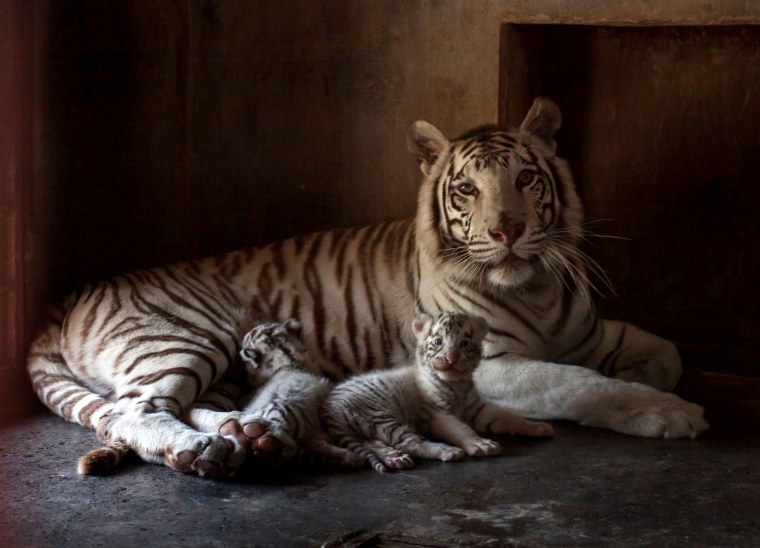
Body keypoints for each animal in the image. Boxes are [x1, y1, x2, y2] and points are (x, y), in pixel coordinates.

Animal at [28, 97, 708, 476]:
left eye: (525, 178)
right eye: (468, 189)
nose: (508, 229)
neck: (531, 286)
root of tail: (69, 298)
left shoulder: (587, 333)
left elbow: (666, 354)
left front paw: (653, 383)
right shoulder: (491, 363)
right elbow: (576, 383)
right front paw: (669, 414)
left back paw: (244, 434)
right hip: (185, 339)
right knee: (132, 411)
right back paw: (202, 452)